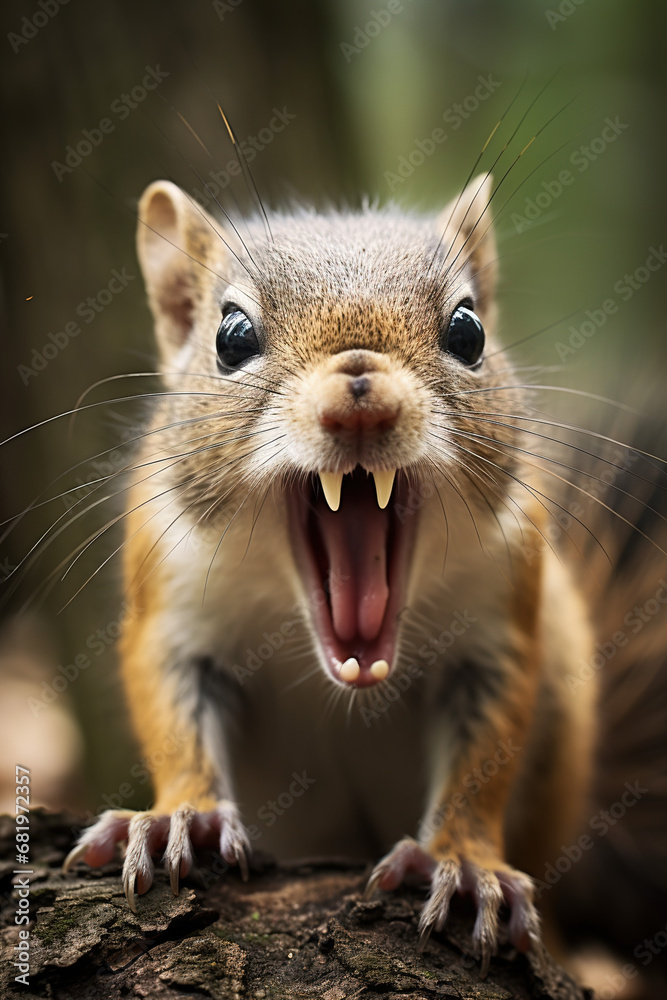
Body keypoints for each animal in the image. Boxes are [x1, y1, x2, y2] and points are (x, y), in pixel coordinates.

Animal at [61, 170, 610, 973]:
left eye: (468, 332)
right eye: (231, 337)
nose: (361, 396)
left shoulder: (498, 626)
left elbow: (485, 761)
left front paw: (460, 860)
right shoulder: (171, 604)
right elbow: (172, 711)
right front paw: (177, 817)